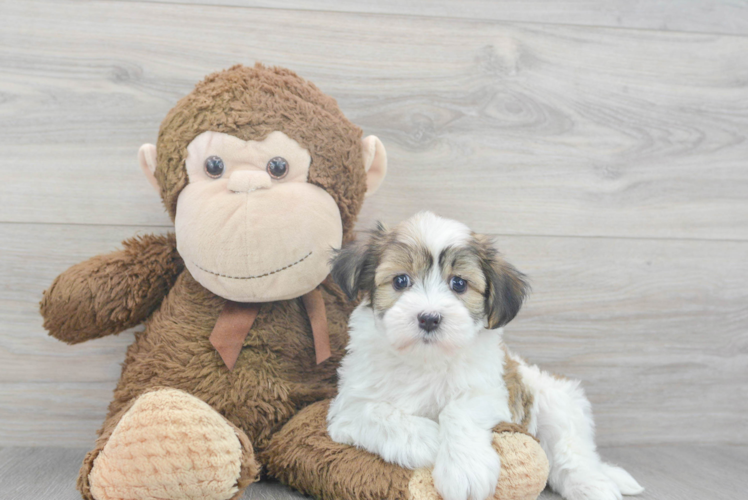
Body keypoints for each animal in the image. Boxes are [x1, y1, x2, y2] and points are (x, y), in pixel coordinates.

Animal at [328, 212, 644, 500]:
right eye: (401, 280)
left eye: (458, 284)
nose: (429, 318)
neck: (425, 360)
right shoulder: (349, 408)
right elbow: (378, 412)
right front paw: (431, 440)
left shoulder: (490, 390)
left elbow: (458, 409)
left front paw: (465, 468)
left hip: (556, 403)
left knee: (571, 455)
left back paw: (593, 486)